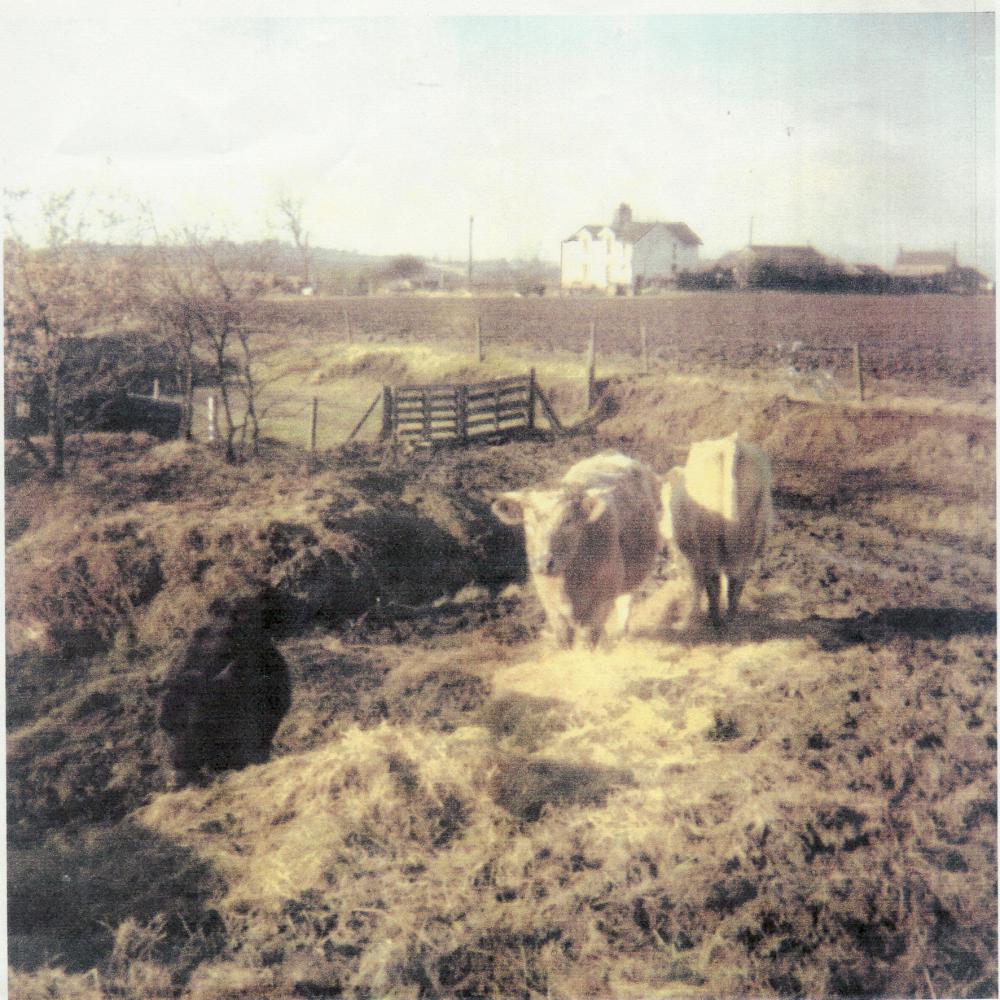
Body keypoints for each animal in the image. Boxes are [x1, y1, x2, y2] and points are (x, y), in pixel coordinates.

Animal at [494, 452, 664, 648]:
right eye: (527, 522)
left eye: (568, 520)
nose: (543, 563)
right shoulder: (552, 605)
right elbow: (563, 639)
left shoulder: (601, 601)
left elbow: (588, 637)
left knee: (625, 602)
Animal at [660, 434, 776, 628]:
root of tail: (730, 444)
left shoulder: (692, 559)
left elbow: (696, 585)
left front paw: (691, 617)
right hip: (750, 540)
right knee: (736, 580)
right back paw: (729, 619)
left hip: (707, 542)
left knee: (713, 579)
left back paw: (714, 619)